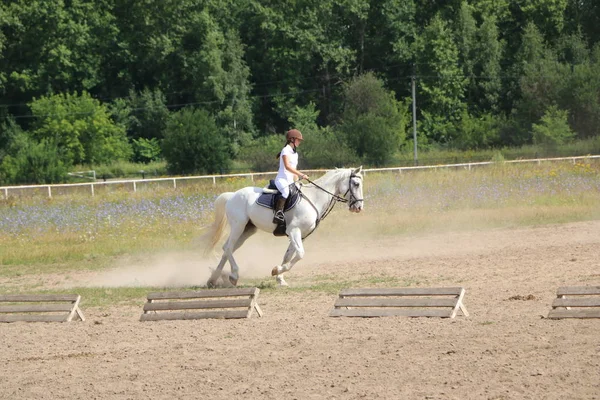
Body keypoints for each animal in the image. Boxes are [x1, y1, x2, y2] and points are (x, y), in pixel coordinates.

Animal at [205, 166, 366, 288]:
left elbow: (288, 256)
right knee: (228, 248)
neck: (314, 197)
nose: (359, 207)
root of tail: (232, 195)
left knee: (228, 249)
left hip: (247, 230)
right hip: (238, 226)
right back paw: (233, 275)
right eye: (356, 184)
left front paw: (280, 278)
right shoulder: (294, 231)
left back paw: (214, 279)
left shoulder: (301, 235)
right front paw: (277, 270)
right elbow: (300, 254)